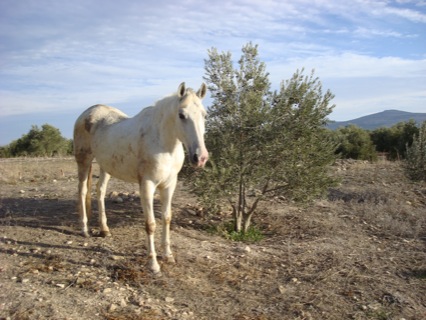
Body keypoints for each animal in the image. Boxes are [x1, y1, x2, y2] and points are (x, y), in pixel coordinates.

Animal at [73, 82, 210, 272]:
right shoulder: (147, 185)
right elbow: (150, 224)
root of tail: (87, 113)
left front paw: (168, 256)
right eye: (181, 115)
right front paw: (153, 264)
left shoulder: (169, 185)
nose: (200, 157)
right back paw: (84, 229)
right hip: (84, 160)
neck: (163, 143)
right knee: (82, 191)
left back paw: (104, 229)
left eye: (204, 115)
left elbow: (166, 218)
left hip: (105, 166)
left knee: (99, 192)